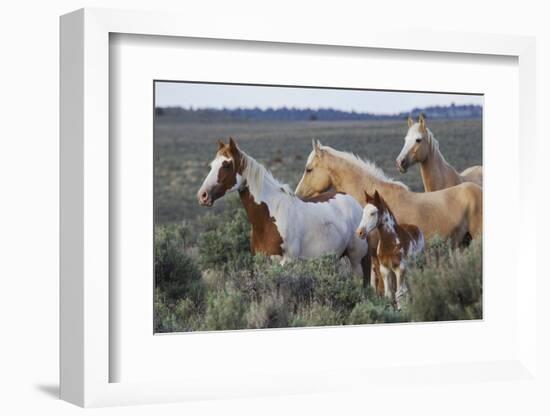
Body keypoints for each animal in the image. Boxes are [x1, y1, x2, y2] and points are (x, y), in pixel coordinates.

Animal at [198, 138, 370, 282]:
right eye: (212, 166)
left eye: (226, 165)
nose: (203, 196)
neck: (269, 218)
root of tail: (354, 202)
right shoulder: (261, 264)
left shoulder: (287, 262)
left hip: (356, 260)